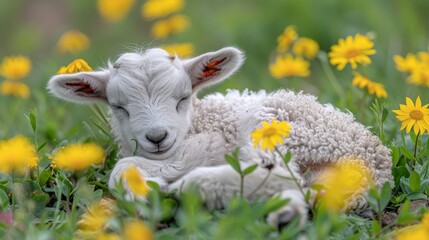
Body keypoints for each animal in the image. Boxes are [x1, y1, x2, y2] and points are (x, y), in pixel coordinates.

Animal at [46, 46, 392, 225]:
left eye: (183, 98)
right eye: (118, 107)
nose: (157, 137)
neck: (199, 119)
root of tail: (376, 165)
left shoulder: (207, 144)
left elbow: (123, 168)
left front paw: (144, 189)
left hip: (272, 126)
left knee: (279, 174)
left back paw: (191, 187)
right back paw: (285, 215)